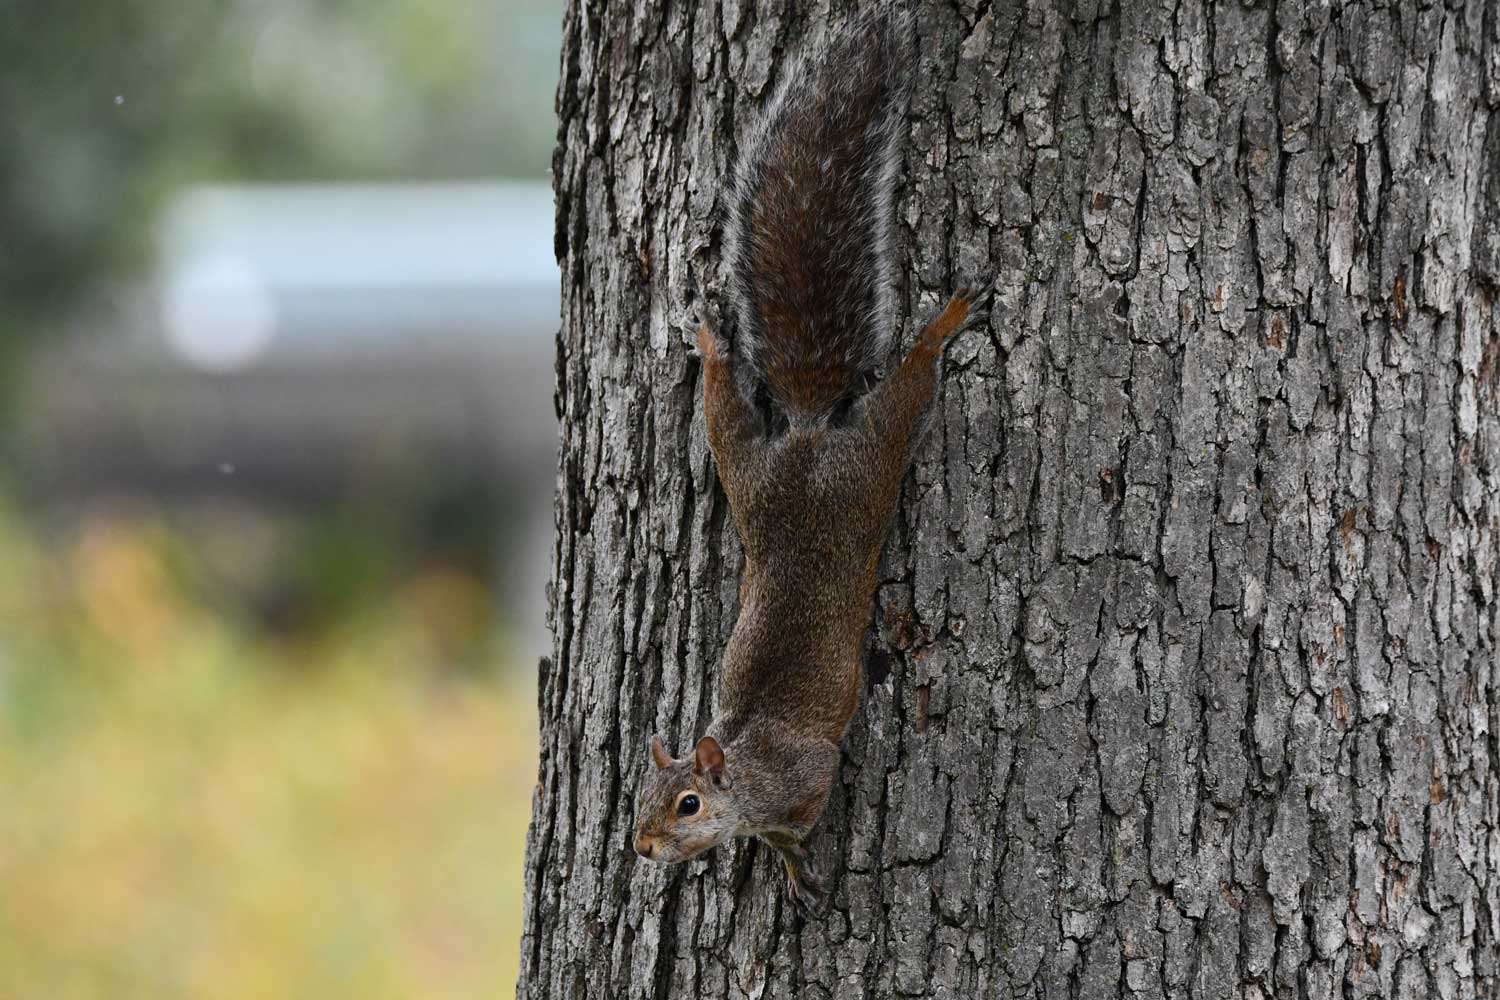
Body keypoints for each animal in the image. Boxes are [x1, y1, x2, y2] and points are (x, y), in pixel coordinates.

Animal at [630, 7, 990, 917]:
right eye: (642, 798)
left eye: (688, 803)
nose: (642, 846)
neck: (748, 767)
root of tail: (802, 444)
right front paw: (784, 865)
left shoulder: (811, 772)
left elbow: (798, 820)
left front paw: (795, 860)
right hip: (744, 466)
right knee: (725, 407)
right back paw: (712, 342)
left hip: (872, 459)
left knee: (908, 388)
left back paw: (942, 325)